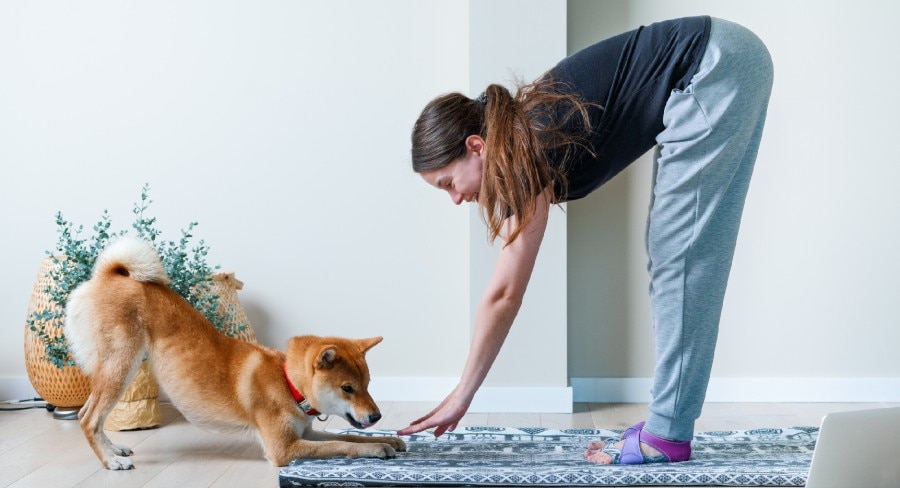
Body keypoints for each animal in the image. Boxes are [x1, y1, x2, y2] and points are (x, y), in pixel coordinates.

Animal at [68, 236, 406, 468]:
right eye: (347, 388)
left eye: (368, 385)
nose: (376, 415)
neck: (287, 383)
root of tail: (112, 274)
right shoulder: (283, 449)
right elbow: (343, 444)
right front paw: (376, 449)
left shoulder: (304, 433)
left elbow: (347, 435)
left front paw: (389, 437)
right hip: (121, 367)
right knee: (89, 418)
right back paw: (111, 461)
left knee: (87, 415)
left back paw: (114, 449)